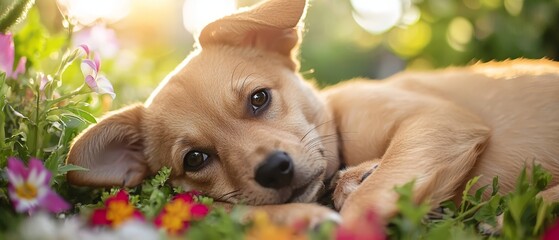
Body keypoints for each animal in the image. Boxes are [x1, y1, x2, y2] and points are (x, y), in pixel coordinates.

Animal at [66, 0, 559, 227]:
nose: (274, 169)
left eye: (259, 99)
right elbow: (239, 212)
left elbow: (362, 204)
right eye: (196, 159)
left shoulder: (440, 123)